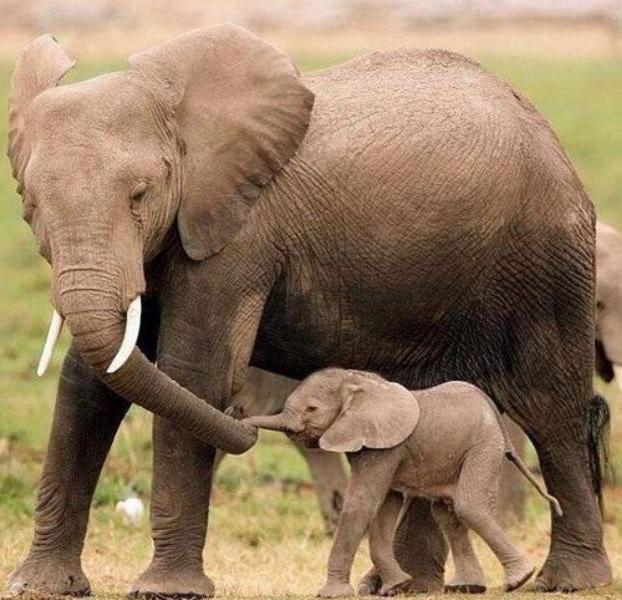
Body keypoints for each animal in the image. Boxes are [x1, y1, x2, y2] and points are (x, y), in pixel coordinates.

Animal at [245, 368, 564, 596]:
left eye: (311, 409)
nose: (247, 426)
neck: (358, 381)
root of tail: (495, 416)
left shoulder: (384, 447)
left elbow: (363, 504)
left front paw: (332, 594)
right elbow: (386, 508)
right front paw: (397, 586)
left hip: (483, 445)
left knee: (469, 506)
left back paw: (518, 580)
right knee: (447, 513)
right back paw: (467, 587)